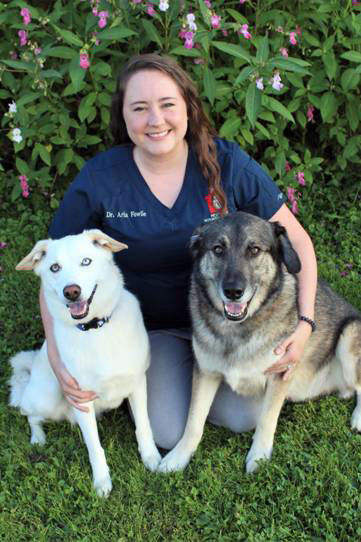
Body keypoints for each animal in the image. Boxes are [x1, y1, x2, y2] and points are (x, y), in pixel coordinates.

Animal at [8, 230, 160, 498]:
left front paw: (151, 457)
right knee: (29, 413)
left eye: (86, 261)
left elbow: (143, 425)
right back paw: (38, 438)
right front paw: (101, 481)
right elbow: (94, 447)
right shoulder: (81, 400)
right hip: (47, 396)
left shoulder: (137, 384)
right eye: (55, 267)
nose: (72, 291)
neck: (96, 330)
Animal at [159, 210, 360, 474]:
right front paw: (178, 456)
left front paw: (259, 457)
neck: (237, 329)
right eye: (218, 249)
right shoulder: (205, 372)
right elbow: (194, 421)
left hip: (350, 334)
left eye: (254, 250)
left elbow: (266, 420)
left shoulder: (280, 373)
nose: (233, 291)